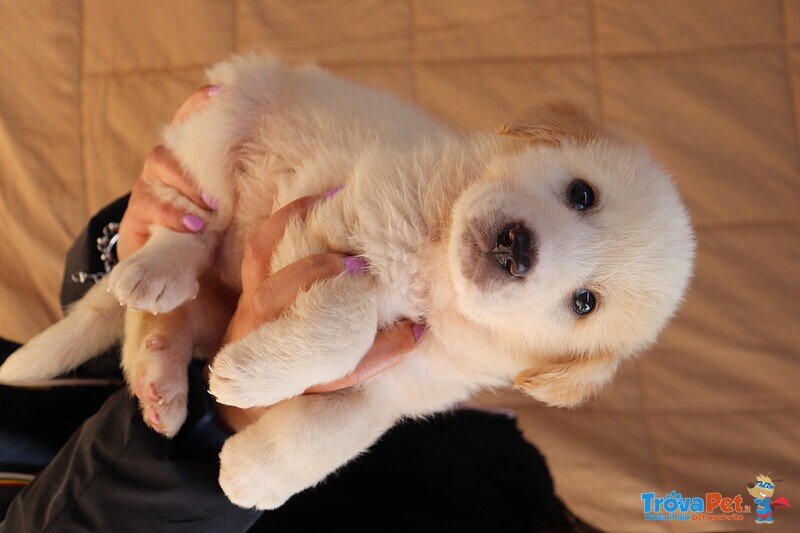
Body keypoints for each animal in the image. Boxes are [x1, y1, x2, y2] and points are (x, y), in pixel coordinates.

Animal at [0, 56, 692, 510]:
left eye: (585, 303)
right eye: (582, 194)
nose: (518, 249)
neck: (433, 270)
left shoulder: (390, 390)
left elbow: (330, 439)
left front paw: (252, 476)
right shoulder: (323, 221)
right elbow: (350, 320)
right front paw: (249, 377)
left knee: (150, 324)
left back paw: (160, 383)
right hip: (222, 121)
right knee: (186, 225)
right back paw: (155, 273)